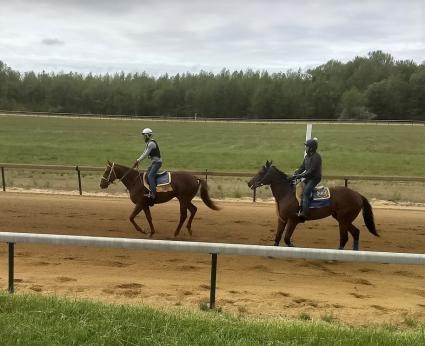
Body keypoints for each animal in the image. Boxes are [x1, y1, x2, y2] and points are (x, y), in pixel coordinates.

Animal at [245, 161, 378, 250]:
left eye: (261, 172)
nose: (249, 183)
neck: (287, 194)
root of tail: (358, 195)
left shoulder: (293, 220)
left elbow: (287, 239)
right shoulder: (282, 219)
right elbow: (277, 238)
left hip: (343, 220)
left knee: (345, 237)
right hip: (342, 219)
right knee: (355, 233)